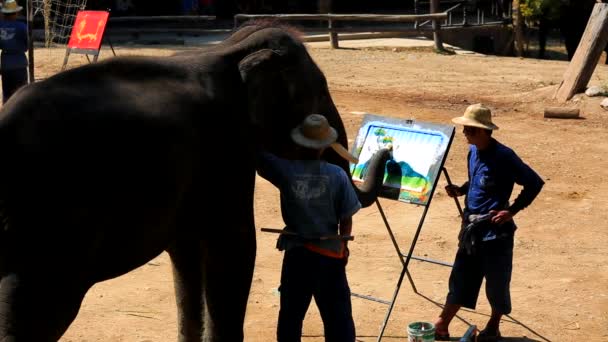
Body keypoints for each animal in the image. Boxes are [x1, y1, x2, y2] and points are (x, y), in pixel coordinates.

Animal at [0, 22, 390, 342]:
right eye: (320, 94)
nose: (386, 150)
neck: (232, 49)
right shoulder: (225, 152)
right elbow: (234, 247)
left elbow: (187, 256)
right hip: (48, 239)